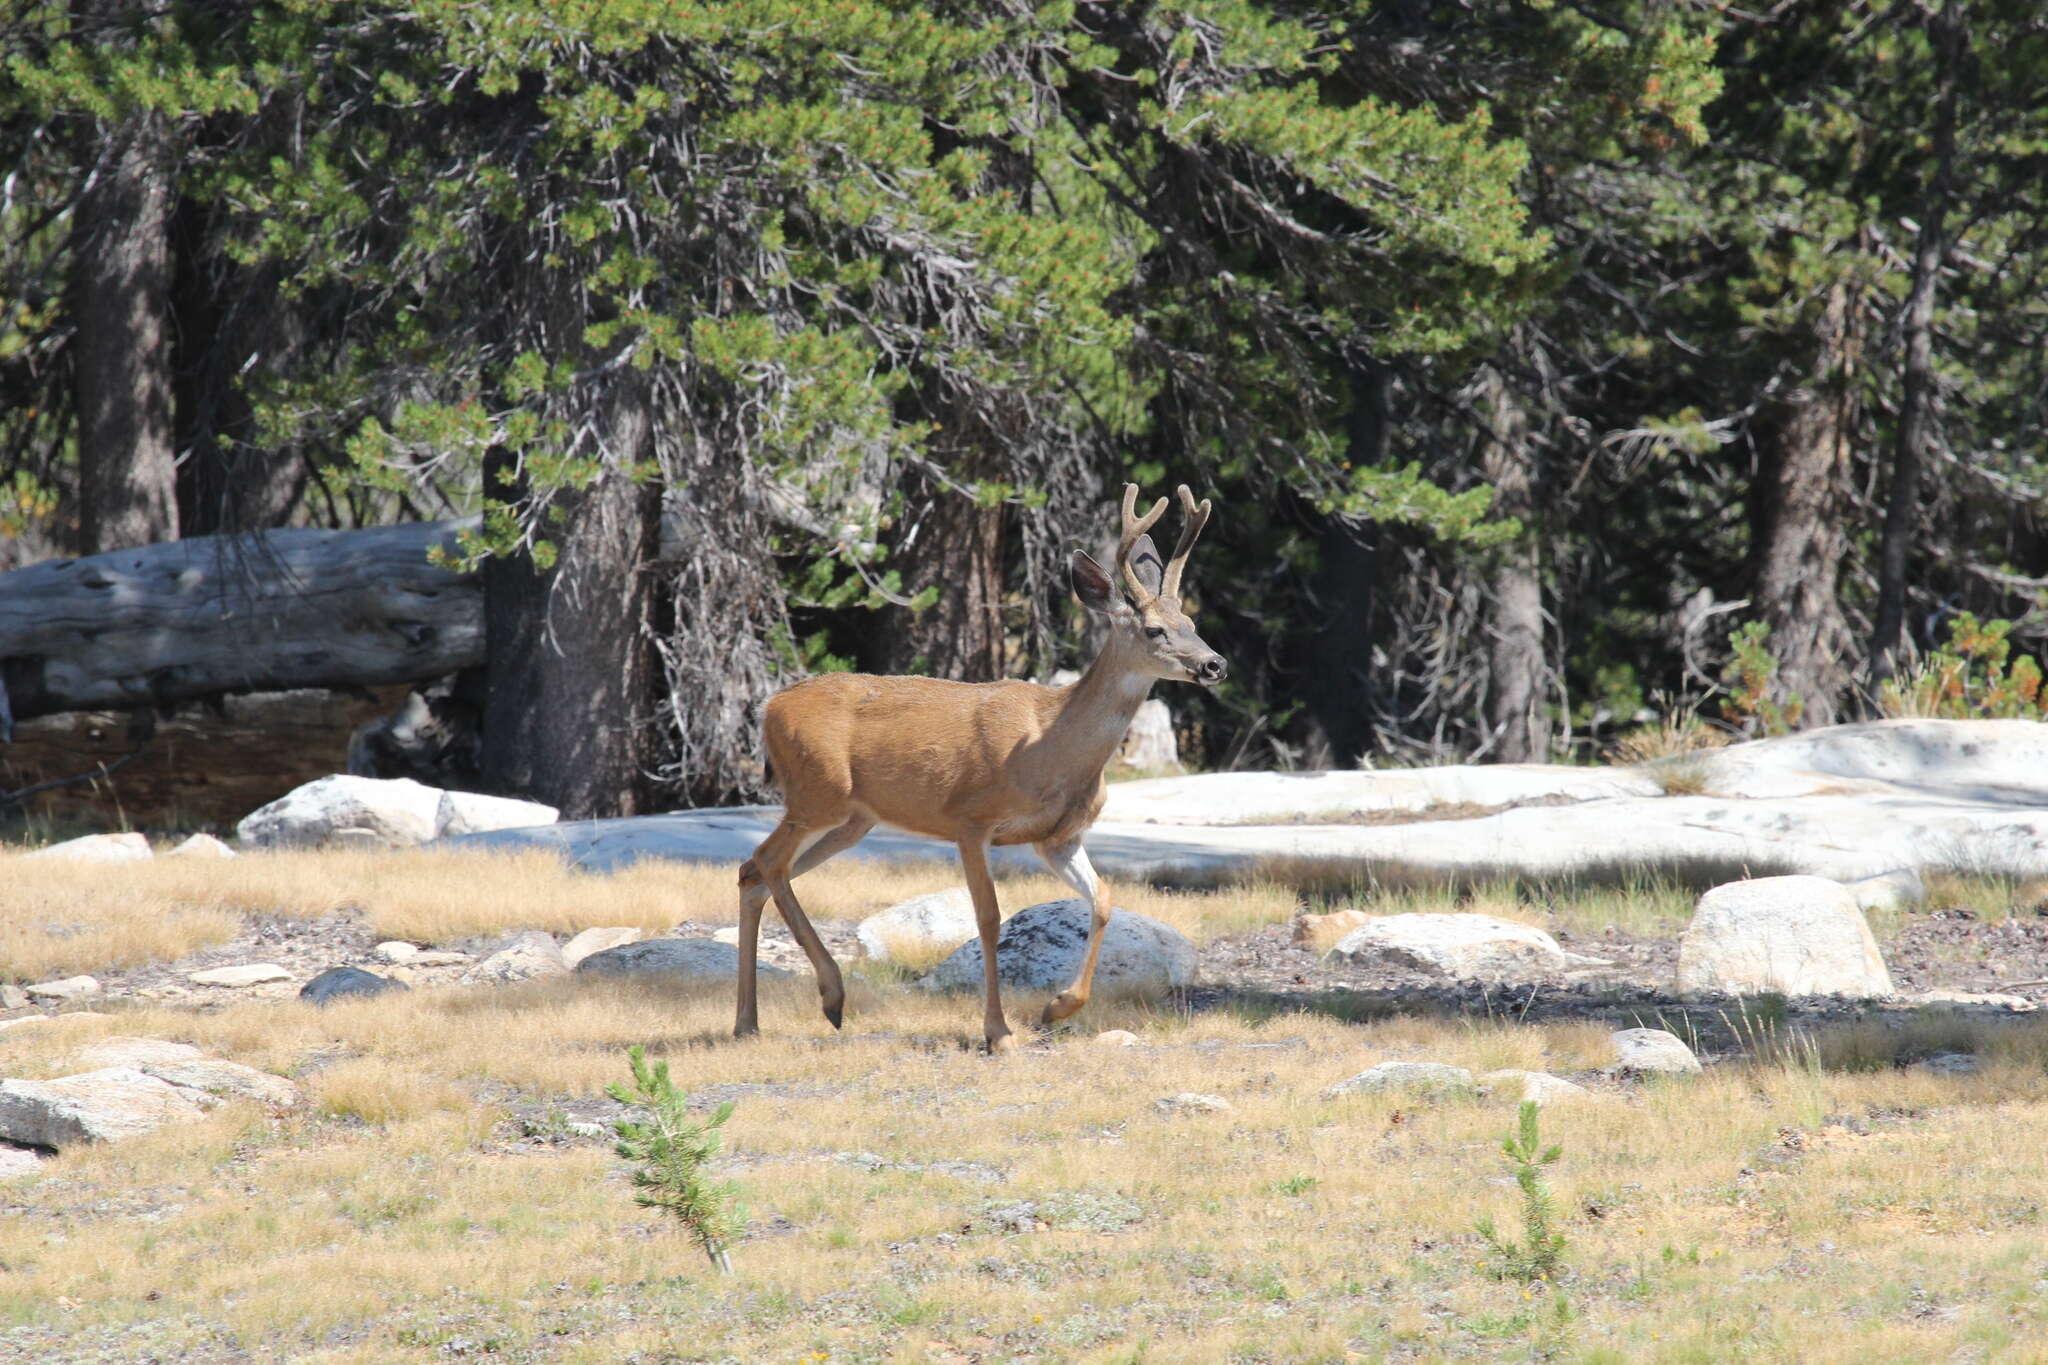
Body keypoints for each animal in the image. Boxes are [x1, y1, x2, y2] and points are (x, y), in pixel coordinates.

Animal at [737, 485, 1220, 1055]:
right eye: (1154, 629)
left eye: (1193, 625)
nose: (1214, 664)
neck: (1050, 748)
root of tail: (768, 706)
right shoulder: (969, 818)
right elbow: (989, 919)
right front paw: (999, 1031)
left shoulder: (1058, 837)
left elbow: (1103, 899)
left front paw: (1056, 1007)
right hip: (818, 792)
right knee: (767, 861)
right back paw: (830, 995)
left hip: (854, 819)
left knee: (754, 872)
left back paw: (749, 1021)